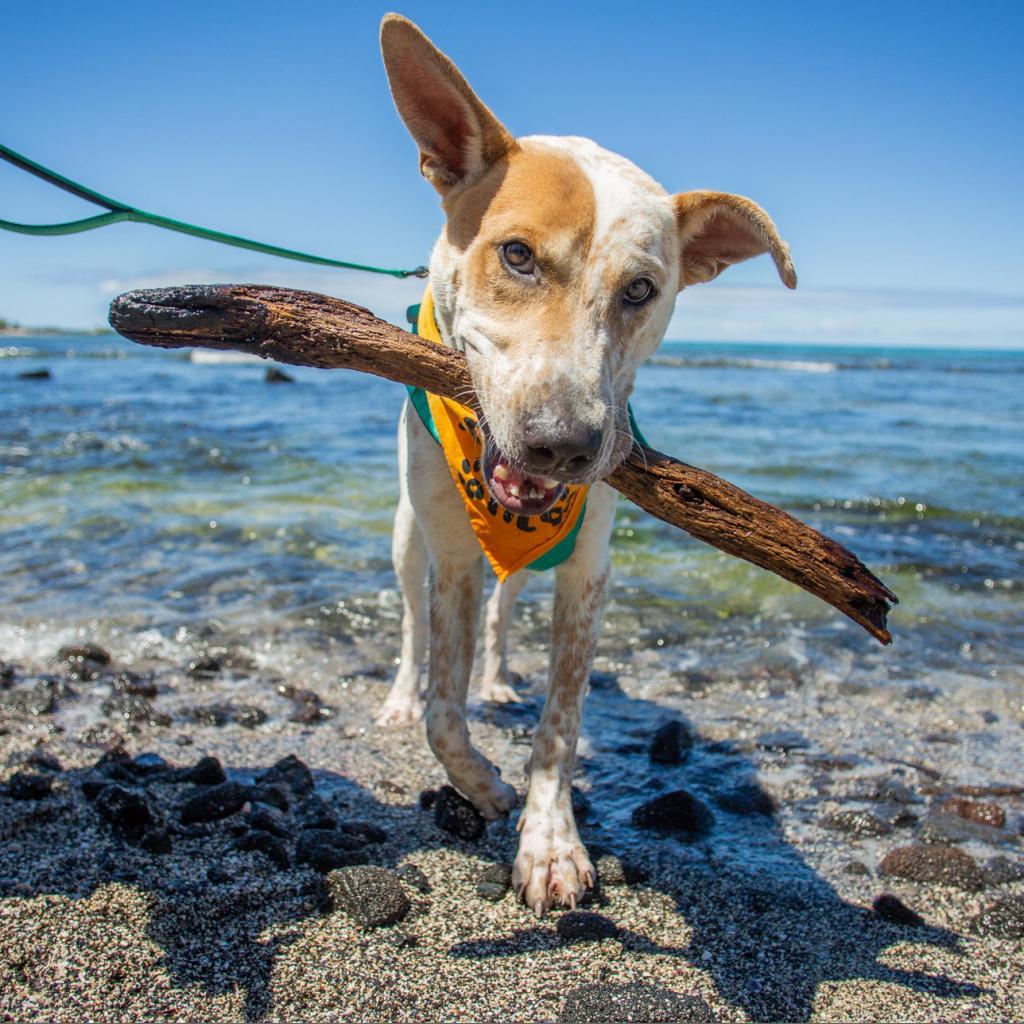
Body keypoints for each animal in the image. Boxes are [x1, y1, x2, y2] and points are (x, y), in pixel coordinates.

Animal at [372, 14, 794, 913]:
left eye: (641, 290)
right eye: (517, 255)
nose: (563, 444)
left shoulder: (588, 568)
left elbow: (560, 722)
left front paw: (550, 840)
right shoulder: (452, 552)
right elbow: (440, 712)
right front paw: (484, 787)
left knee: (503, 617)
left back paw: (500, 680)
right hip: (404, 536)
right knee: (413, 634)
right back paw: (395, 698)